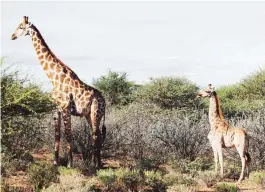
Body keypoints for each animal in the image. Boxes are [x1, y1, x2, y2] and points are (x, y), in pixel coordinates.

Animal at [11, 15, 106, 167]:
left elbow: (68, 134)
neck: (54, 78)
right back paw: (96, 162)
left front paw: (69, 163)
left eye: (21, 27)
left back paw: (95, 164)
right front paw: (55, 162)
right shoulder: (56, 109)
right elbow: (57, 135)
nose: (12, 36)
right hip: (89, 115)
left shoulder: (66, 108)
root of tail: (104, 100)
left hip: (96, 113)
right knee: (96, 135)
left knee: (96, 135)